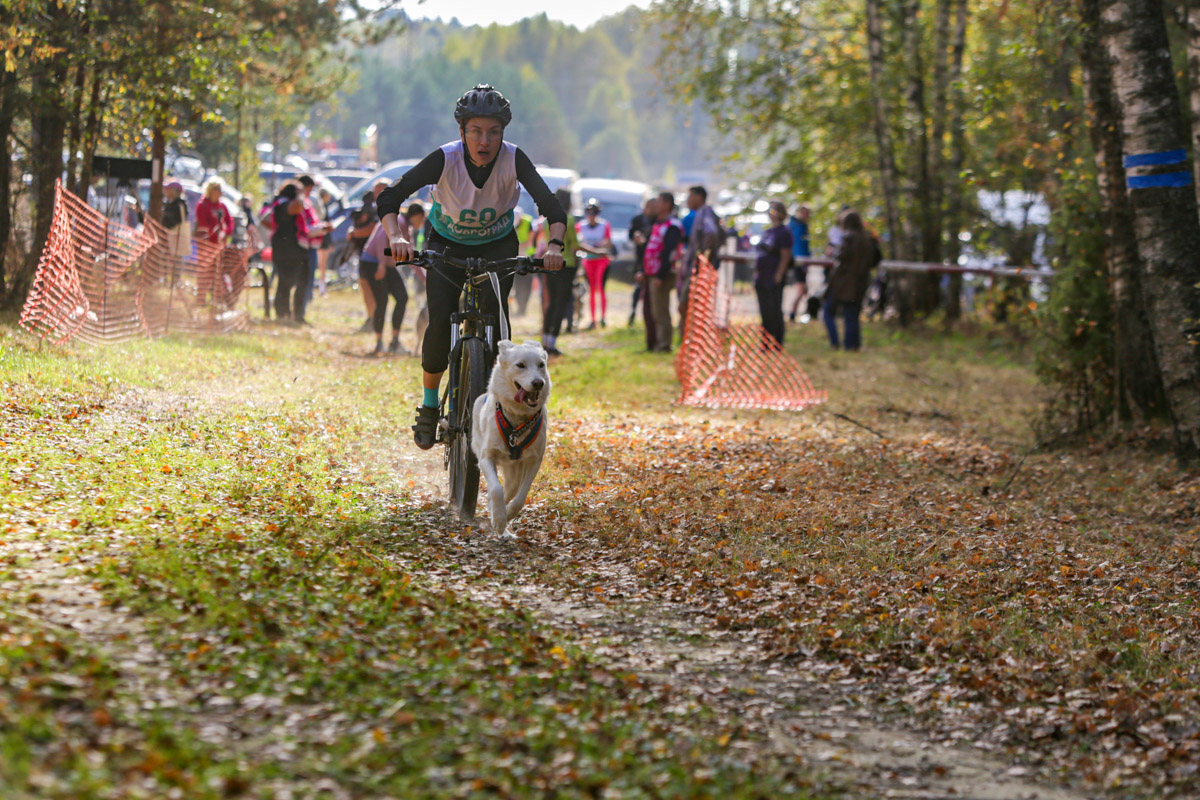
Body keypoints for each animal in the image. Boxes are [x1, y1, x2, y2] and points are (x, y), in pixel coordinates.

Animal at [475, 338, 554, 537]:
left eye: (541, 365)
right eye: (520, 365)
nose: (538, 383)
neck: (518, 422)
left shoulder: (534, 460)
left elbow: (521, 496)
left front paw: (507, 514)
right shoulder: (486, 457)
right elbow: (496, 489)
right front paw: (499, 519)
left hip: (514, 473)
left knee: (511, 489)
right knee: (497, 489)